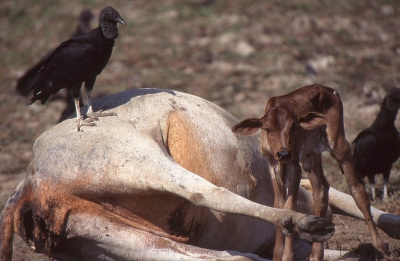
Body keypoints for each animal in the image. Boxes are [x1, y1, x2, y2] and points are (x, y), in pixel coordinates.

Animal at [233, 84, 386, 260]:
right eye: (267, 129)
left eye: (294, 127)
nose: (284, 153)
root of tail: (328, 90)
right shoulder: (273, 166)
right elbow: (278, 207)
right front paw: (278, 254)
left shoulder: (294, 166)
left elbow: (290, 207)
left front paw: (287, 256)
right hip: (311, 156)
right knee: (321, 190)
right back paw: (316, 253)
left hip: (339, 145)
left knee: (357, 188)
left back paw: (379, 246)